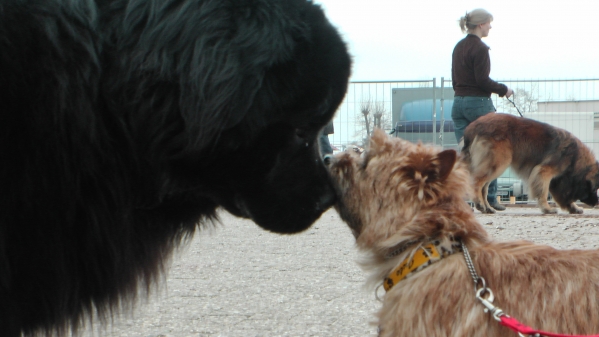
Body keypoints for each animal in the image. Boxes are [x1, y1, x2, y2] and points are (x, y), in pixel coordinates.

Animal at [462, 112, 596, 213]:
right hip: (498, 163)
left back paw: (487, 208)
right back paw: (479, 204)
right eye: (595, 188)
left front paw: (573, 208)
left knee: (484, 187)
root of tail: (472, 127)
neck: (575, 157)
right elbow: (543, 191)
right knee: (476, 182)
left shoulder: (558, 180)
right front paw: (547, 208)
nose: (596, 202)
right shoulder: (543, 171)